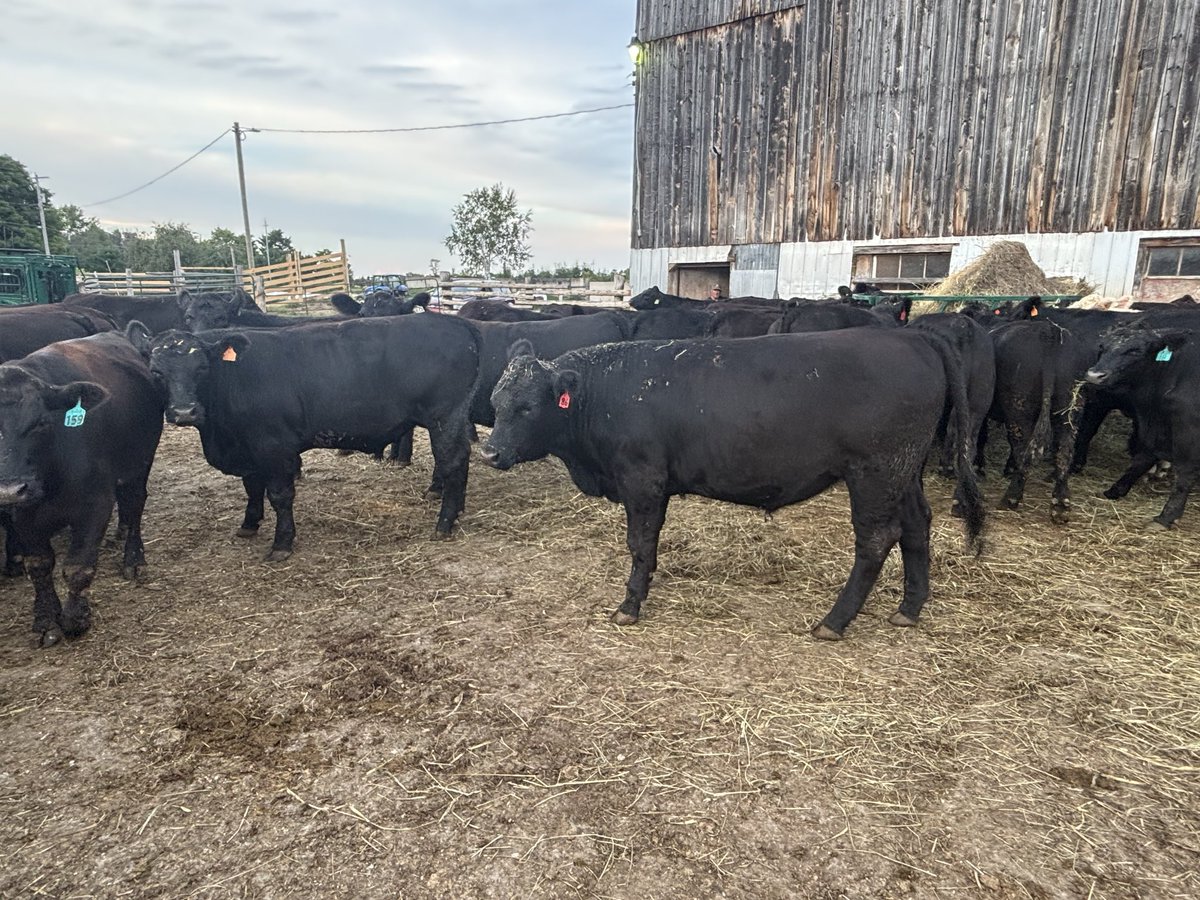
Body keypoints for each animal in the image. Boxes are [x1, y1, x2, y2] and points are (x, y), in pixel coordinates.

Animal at [0, 326, 163, 646]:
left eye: (41, 422)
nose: (10, 490)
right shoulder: (22, 515)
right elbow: (39, 566)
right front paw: (46, 621)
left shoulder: (96, 505)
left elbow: (78, 567)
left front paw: (76, 619)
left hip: (139, 465)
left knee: (135, 504)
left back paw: (134, 559)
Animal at [145, 314, 481, 560]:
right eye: (156, 372)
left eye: (202, 368)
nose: (184, 412)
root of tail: (452, 321)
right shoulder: (248, 448)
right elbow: (252, 488)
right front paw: (249, 524)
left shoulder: (273, 447)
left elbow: (279, 496)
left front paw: (281, 543)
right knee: (462, 459)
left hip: (444, 417)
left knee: (452, 461)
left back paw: (444, 523)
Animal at [481, 330, 985, 640]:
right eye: (496, 399)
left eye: (528, 407)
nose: (490, 453)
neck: (606, 393)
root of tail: (913, 335)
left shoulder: (642, 480)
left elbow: (640, 544)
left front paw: (630, 604)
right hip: (904, 472)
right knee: (917, 525)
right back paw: (909, 609)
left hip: (875, 472)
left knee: (877, 540)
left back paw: (834, 621)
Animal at [1085, 323, 1200, 528]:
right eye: (1102, 347)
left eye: (1135, 351)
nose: (1094, 376)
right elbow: (1142, 457)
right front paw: (1116, 490)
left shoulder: (1188, 430)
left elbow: (1185, 472)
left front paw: (1167, 516)